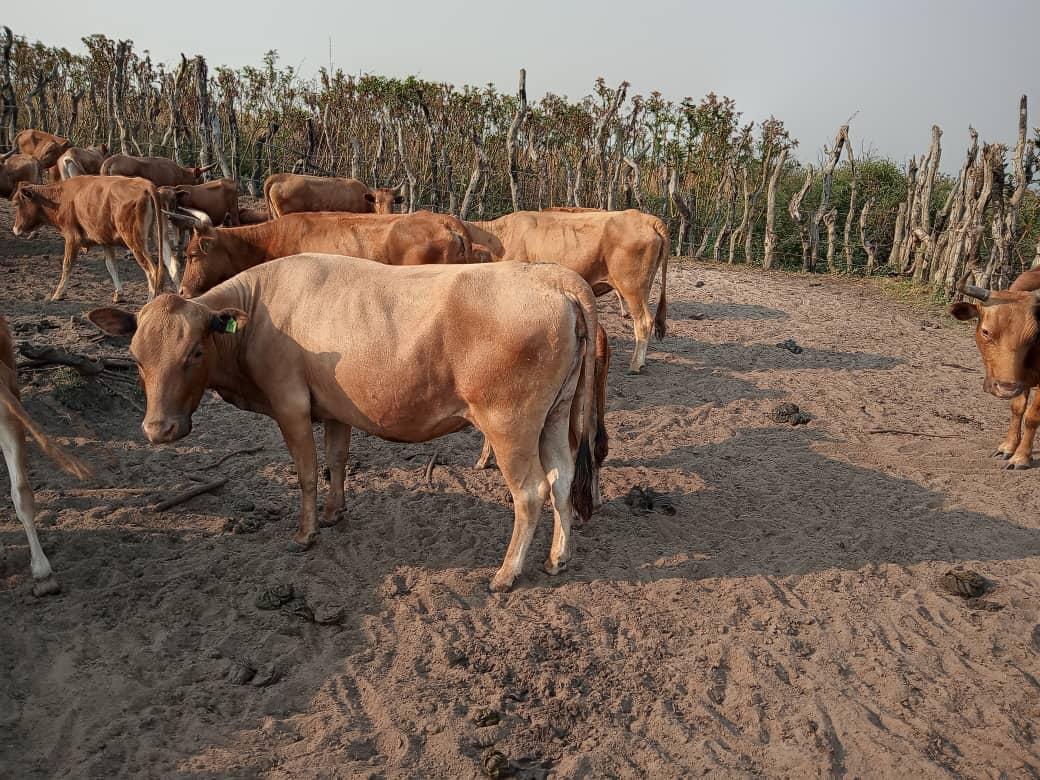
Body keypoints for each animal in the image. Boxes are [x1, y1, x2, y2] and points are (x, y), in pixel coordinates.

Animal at [11, 176, 175, 302]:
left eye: (17, 203)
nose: (15, 229)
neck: (61, 198)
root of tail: (146, 185)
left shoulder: (72, 238)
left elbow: (67, 265)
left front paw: (58, 294)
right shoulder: (105, 241)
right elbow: (111, 266)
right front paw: (119, 294)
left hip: (135, 241)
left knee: (152, 270)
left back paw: (150, 301)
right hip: (159, 237)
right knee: (172, 264)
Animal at [88, 254, 606, 592]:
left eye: (194, 352)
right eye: (136, 357)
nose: (158, 430)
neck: (261, 309)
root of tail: (555, 277)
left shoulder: (290, 404)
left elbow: (306, 473)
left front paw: (305, 534)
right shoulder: (336, 410)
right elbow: (336, 461)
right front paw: (335, 513)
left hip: (508, 423)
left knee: (531, 491)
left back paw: (506, 574)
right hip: (554, 415)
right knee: (561, 479)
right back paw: (558, 558)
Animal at [949, 271, 1040, 469]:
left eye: (1034, 336)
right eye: (986, 332)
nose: (1005, 389)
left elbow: (1032, 417)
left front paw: (1021, 457)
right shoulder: (1019, 380)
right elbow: (1017, 409)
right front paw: (1008, 447)